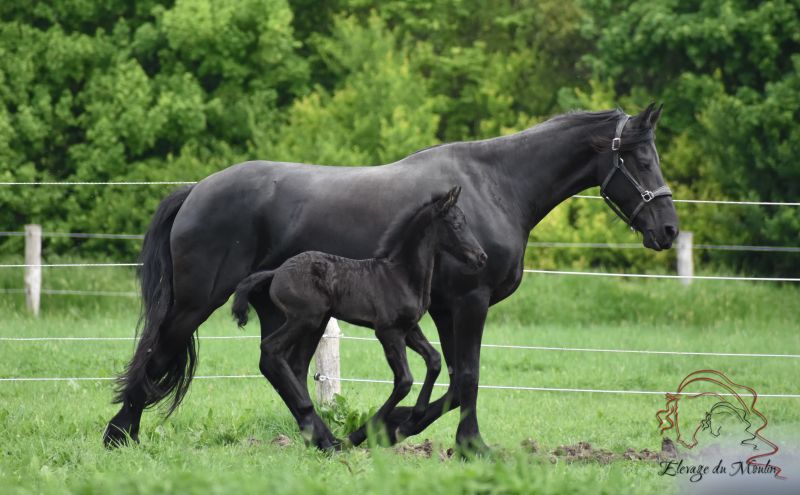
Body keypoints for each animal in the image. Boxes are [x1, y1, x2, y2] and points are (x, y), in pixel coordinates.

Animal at [228, 186, 484, 450]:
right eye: (456, 225)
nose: (481, 257)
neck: (401, 275)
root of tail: (276, 271)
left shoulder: (409, 329)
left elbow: (434, 361)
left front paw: (413, 417)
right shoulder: (388, 331)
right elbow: (404, 381)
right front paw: (361, 434)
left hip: (315, 323)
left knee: (292, 363)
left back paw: (321, 435)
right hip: (305, 318)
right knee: (271, 349)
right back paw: (315, 421)